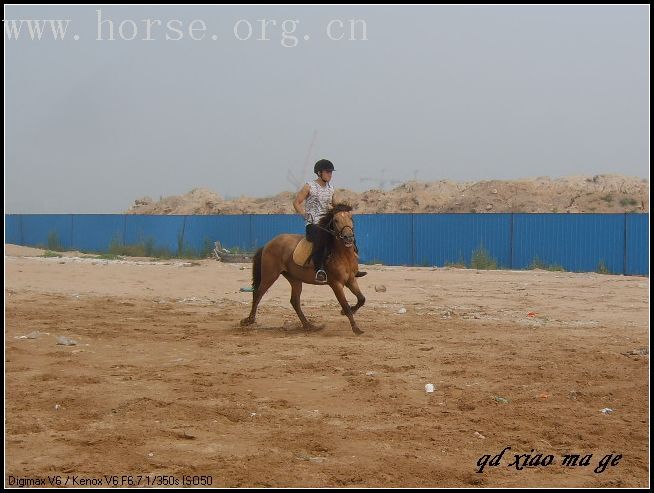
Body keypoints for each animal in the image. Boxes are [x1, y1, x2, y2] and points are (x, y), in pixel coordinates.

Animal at [240, 203, 366, 334]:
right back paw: (249, 320)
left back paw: (308, 325)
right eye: (336, 220)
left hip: (294, 279)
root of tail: (267, 244)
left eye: (351, 218)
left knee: (294, 301)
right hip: (270, 275)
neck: (343, 255)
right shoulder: (336, 284)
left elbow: (361, 299)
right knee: (258, 294)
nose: (348, 237)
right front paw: (356, 328)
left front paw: (350, 311)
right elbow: (345, 305)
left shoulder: (351, 280)